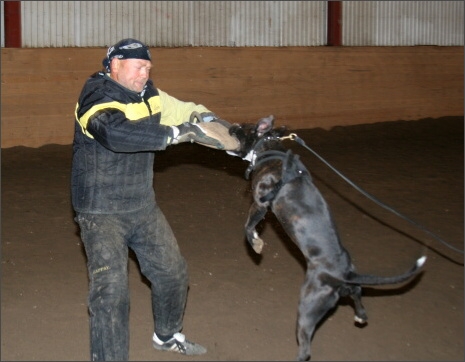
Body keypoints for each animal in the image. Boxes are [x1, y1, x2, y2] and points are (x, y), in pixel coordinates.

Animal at [227, 114, 426, 360]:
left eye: (241, 127)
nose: (230, 126)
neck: (270, 148)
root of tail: (344, 274)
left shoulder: (261, 203)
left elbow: (248, 226)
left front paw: (256, 243)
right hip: (348, 290)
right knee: (358, 297)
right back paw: (360, 315)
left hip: (307, 308)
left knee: (305, 348)